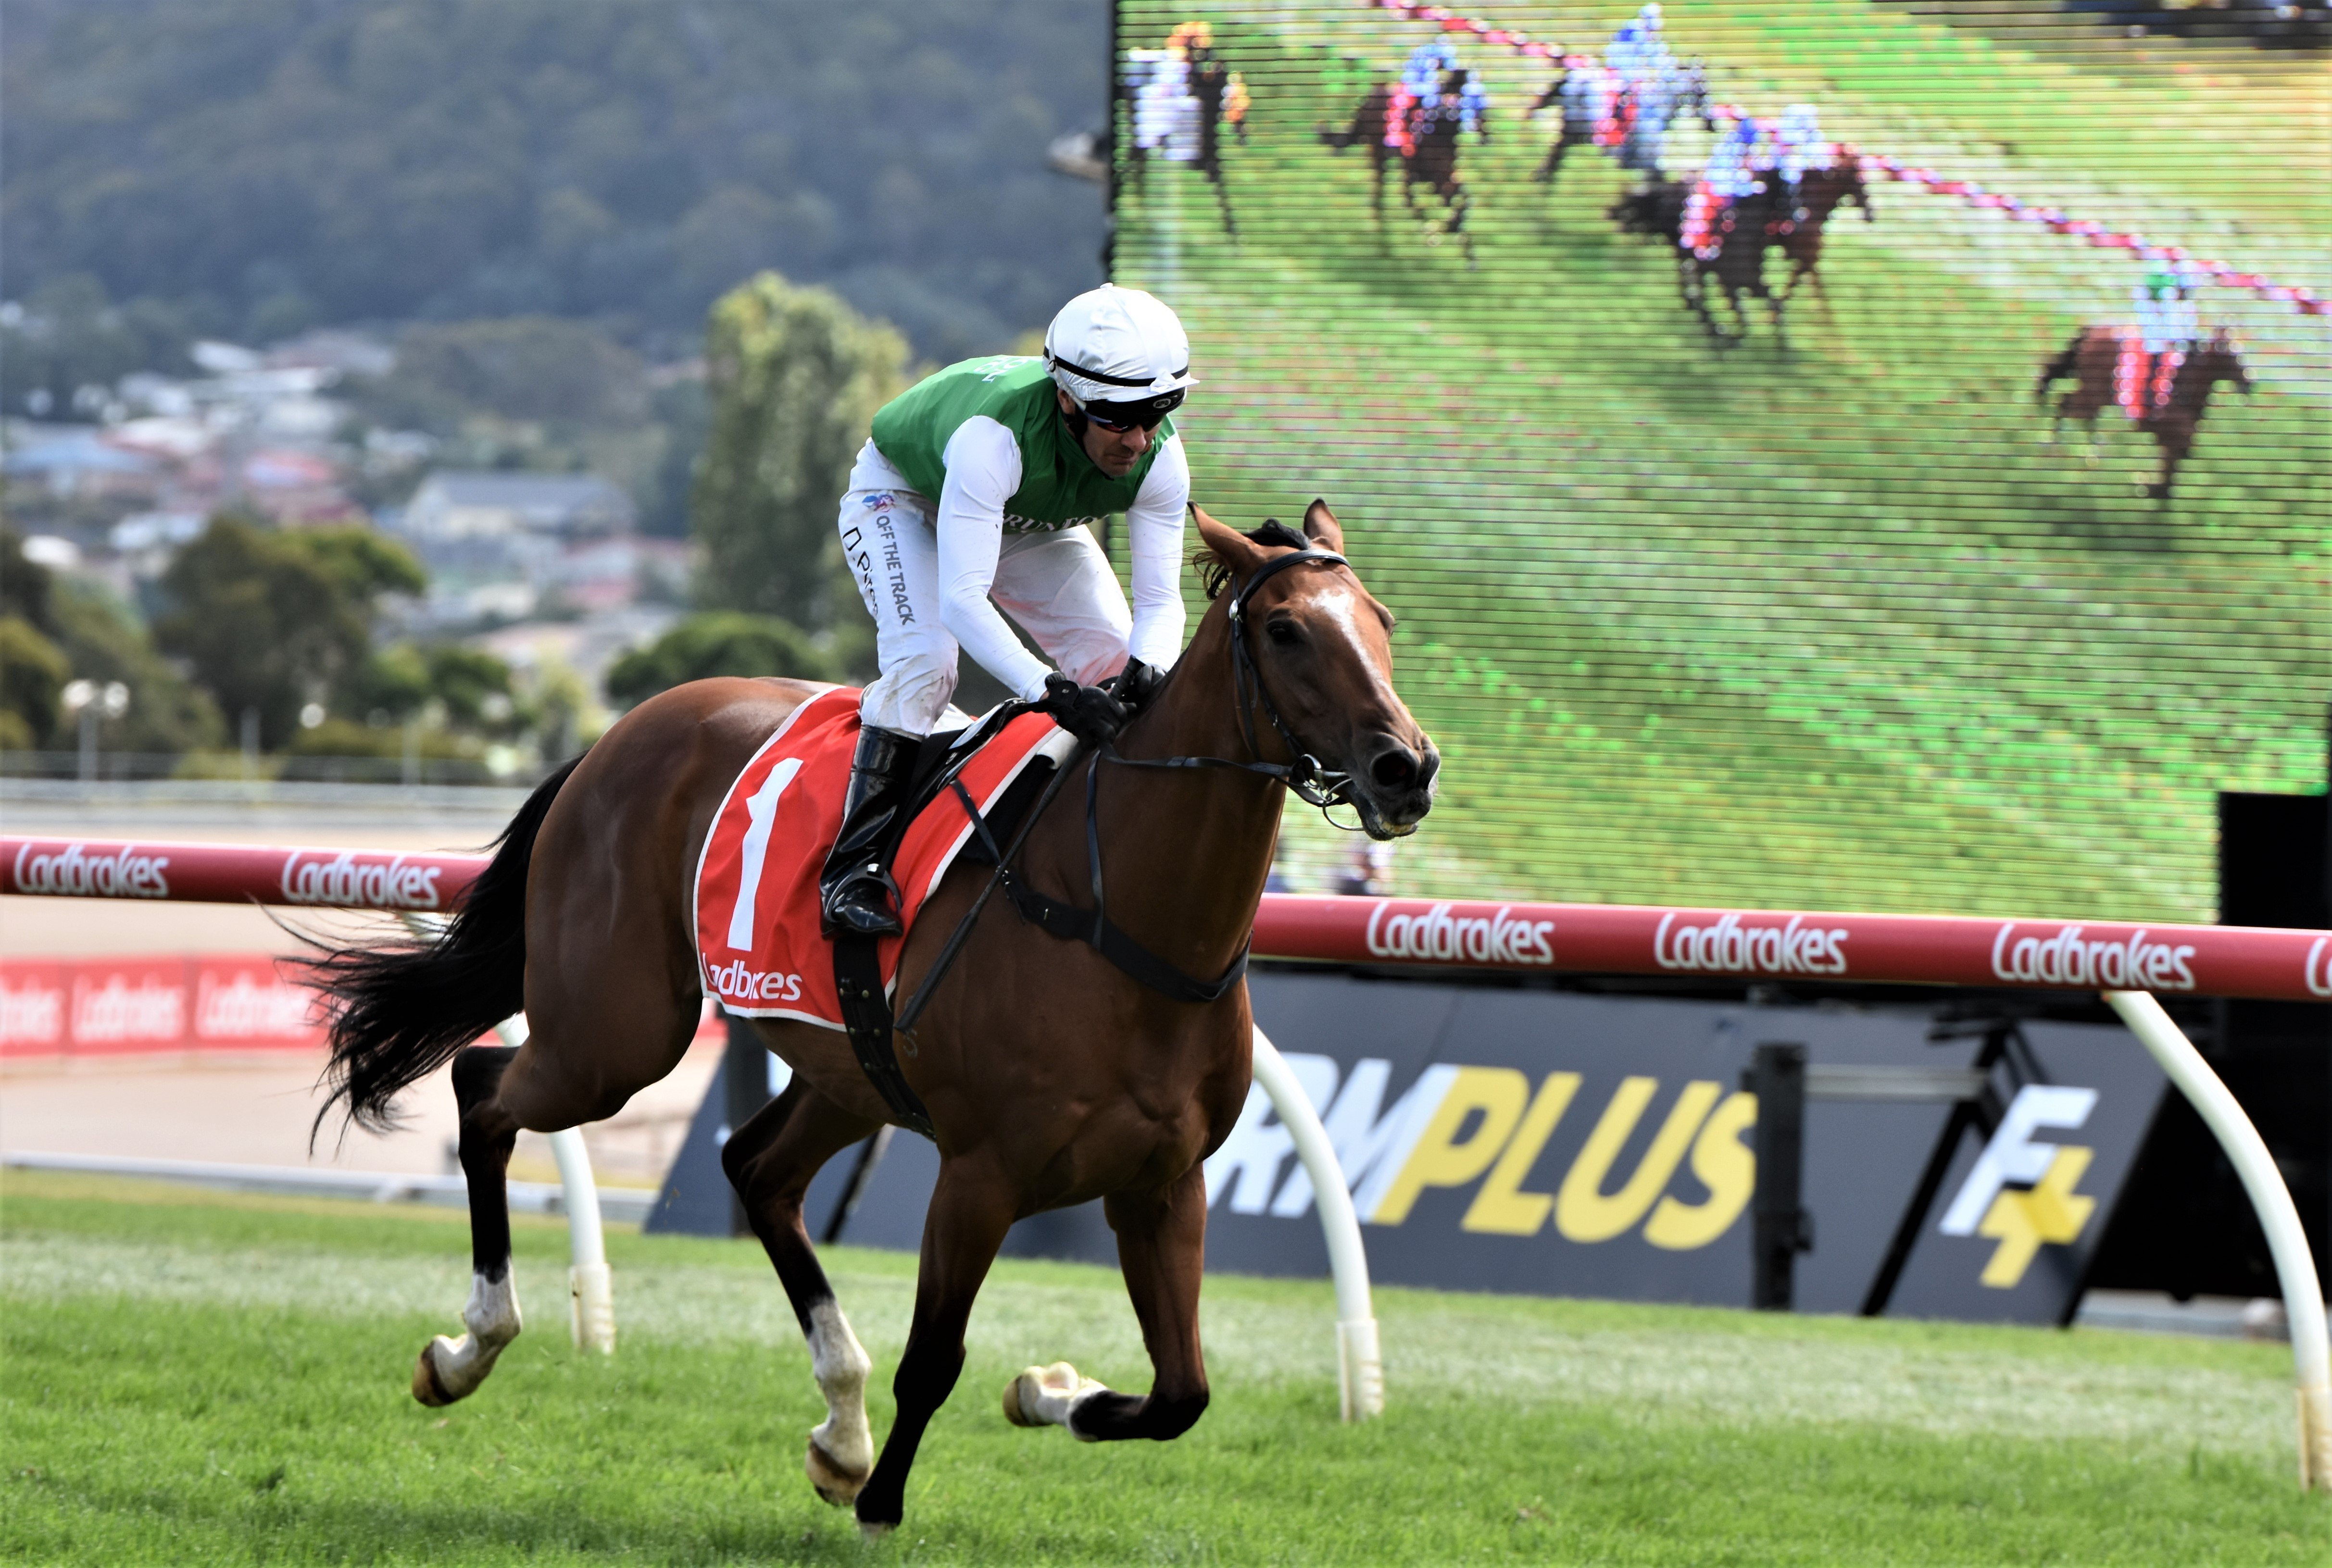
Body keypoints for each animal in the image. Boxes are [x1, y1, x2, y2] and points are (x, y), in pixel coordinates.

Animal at [305, 508, 1436, 1537]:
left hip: (843, 1066)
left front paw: (1047, 1391)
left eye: (1382, 620)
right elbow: (935, 1356)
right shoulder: (981, 1173)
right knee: (484, 1091)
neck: (1121, 915)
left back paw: (838, 1427)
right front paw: (885, 1506)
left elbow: (1180, 1393)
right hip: (614, 1034)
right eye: (1286, 629)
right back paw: (469, 1347)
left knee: (756, 1169)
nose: (1406, 767)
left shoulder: (1163, 1181)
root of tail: (616, 734)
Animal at [2033, 326, 2248, 498]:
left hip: (2098, 394)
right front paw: (2151, 488)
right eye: (2235, 355)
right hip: (2094, 391)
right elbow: (2173, 459)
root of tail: (2090, 332)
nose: (2249, 383)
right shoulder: (2173, 432)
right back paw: (2054, 449)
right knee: (2066, 405)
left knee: (2077, 410)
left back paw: (2094, 451)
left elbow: (2173, 462)